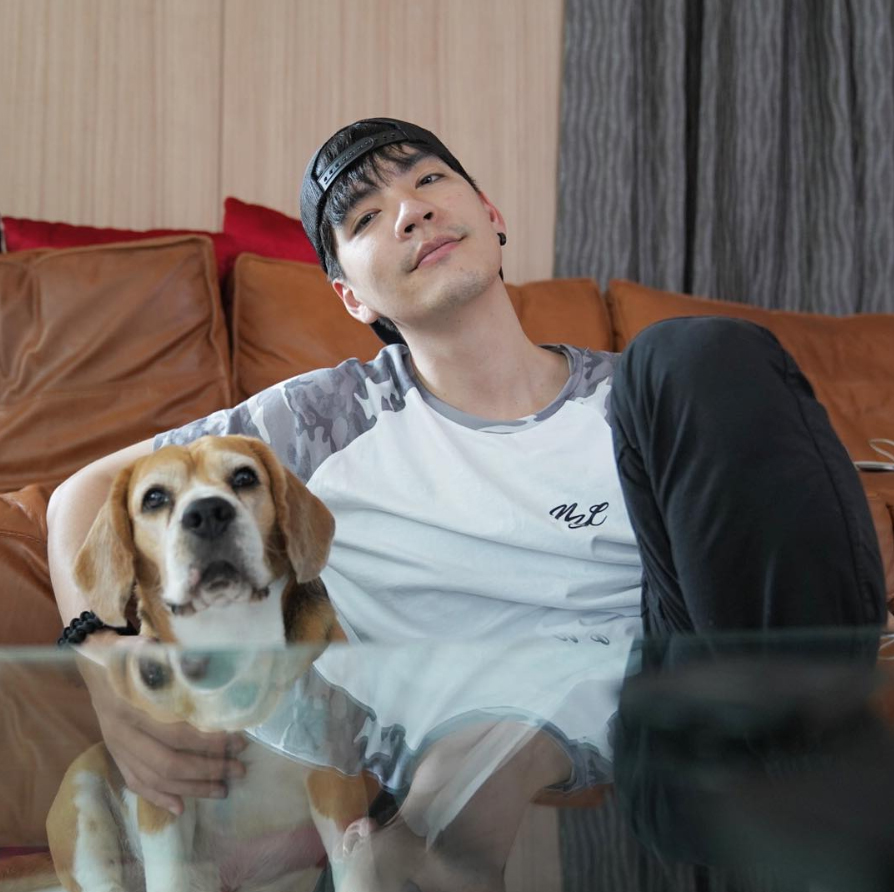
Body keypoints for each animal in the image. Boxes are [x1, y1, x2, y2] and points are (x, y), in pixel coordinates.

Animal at [47, 434, 373, 892]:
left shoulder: (337, 784)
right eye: (154, 498)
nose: (207, 513)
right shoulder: (165, 798)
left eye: (244, 477)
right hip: (84, 794)